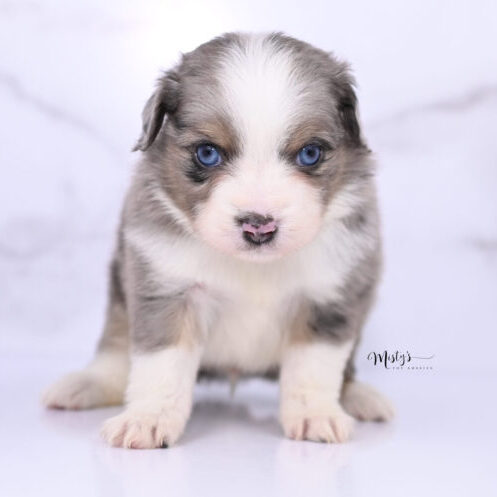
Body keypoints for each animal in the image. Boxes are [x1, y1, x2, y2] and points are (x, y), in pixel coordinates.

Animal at [42, 33, 392, 448]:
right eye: (207, 153)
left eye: (310, 153)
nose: (259, 226)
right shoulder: (167, 289)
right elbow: (161, 364)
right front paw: (147, 418)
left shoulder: (328, 297)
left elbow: (313, 365)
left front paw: (315, 414)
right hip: (119, 294)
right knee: (114, 347)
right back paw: (87, 384)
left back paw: (360, 397)